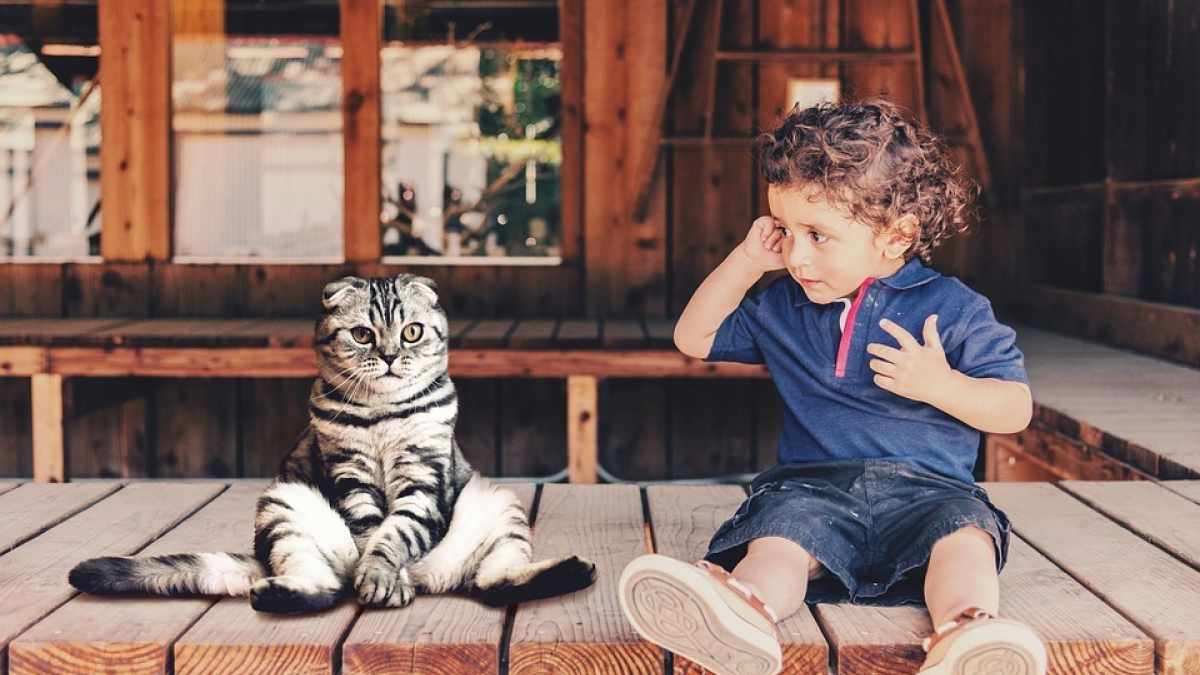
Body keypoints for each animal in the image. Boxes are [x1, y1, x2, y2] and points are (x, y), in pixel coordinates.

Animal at [70, 271, 595, 610]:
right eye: (362, 334)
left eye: (412, 332)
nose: (390, 355)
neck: (383, 416)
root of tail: (430, 578)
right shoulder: (349, 473)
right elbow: (371, 531)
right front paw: (380, 577)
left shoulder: (424, 478)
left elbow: (395, 532)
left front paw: (383, 573)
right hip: (284, 506)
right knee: (325, 586)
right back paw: (280, 592)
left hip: (499, 505)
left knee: (493, 582)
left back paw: (573, 570)